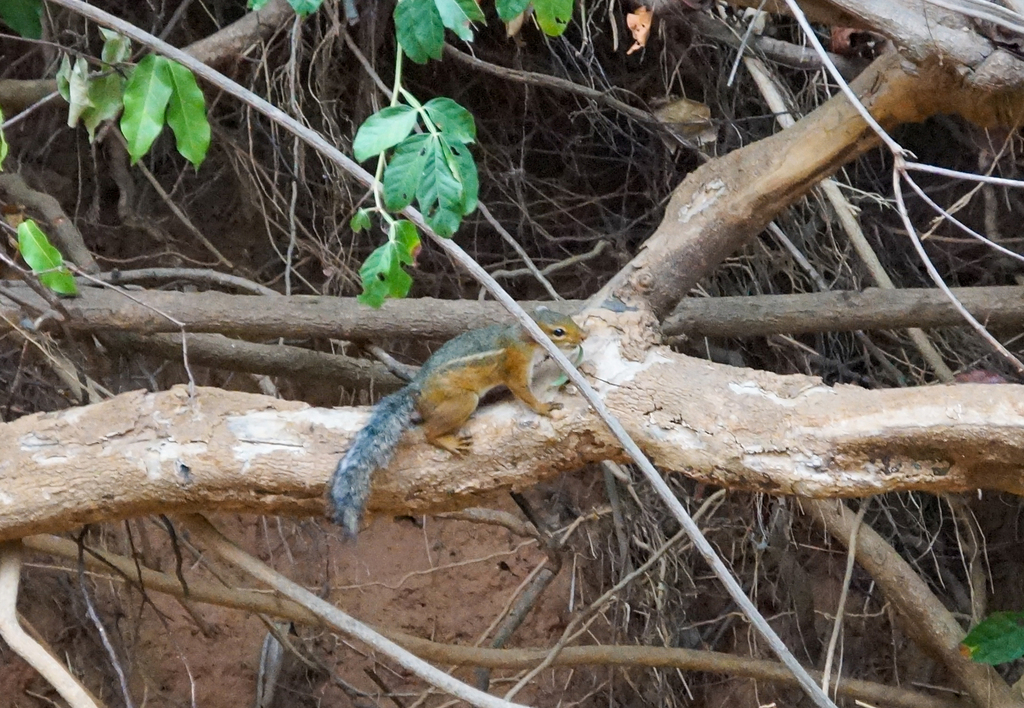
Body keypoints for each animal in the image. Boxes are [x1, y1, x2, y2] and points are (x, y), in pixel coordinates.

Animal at [328, 307, 586, 537]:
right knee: (429, 432)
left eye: (569, 317)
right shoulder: (516, 365)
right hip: (464, 400)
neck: (520, 337)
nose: (583, 336)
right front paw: (544, 407)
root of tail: (416, 391)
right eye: (559, 332)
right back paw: (448, 441)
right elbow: (523, 391)